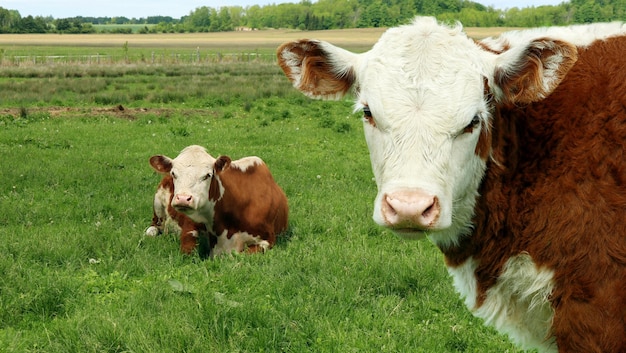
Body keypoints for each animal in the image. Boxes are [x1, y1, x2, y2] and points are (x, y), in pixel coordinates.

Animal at [149, 144, 288, 258]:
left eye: (207, 175)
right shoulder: (189, 227)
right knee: (155, 224)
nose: (183, 199)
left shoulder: (268, 239)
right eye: (174, 173)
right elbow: (188, 251)